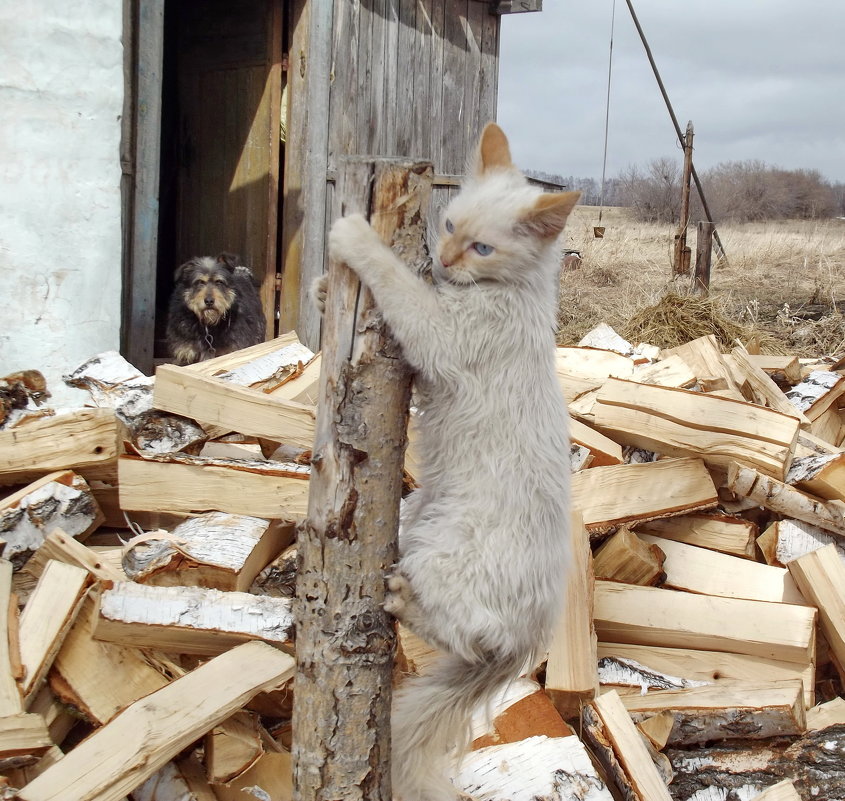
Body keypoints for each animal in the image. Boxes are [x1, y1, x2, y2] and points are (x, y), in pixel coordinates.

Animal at [326, 123, 576, 800]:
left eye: (483, 248)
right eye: (448, 225)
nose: (445, 259)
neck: (511, 292)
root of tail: (531, 637)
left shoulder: (436, 336)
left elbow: (394, 279)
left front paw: (352, 235)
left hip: (441, 559)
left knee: (469, 637)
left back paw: (398, 600)